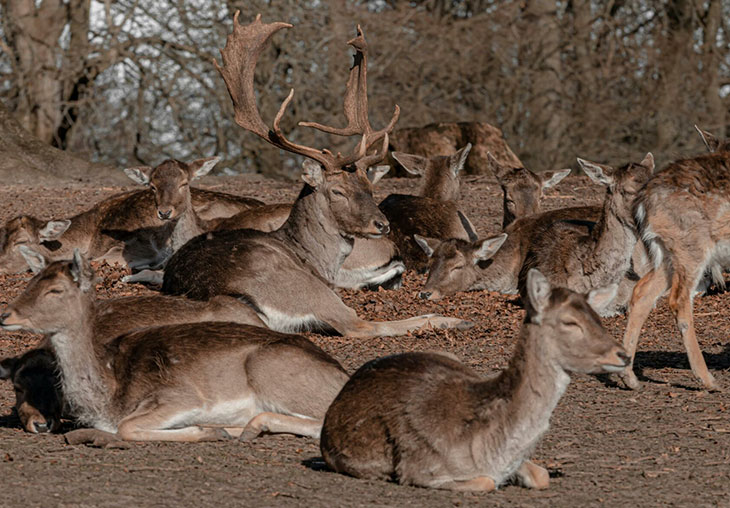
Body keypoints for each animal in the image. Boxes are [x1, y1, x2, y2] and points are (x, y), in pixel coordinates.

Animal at [0, 250, 350, 445]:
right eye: (31, 282)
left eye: (55, 290)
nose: (6, 314)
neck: (107, 395)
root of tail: (341, 375)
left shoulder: (180, 396)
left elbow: (127, 427)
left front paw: (207, 432)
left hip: (271, 372)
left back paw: (247, 428)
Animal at [161, 13, 472, 338]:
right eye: (337, 191)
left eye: (368, 186)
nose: (382, 225)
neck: (311, 256)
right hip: (306, 288)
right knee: (359, 325)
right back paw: (452, 320)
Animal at [320, 269, 628, 491]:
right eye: (570, 322)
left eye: (597, 318)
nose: (623, 354)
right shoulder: (420, 467)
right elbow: (486, 481)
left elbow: (541, 476)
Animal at [620, 129, 730, 391]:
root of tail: (643, 202)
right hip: (692, 246)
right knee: (679, 300)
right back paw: (708, 379)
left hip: (668, 252)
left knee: (642, 292)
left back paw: (629, 378)